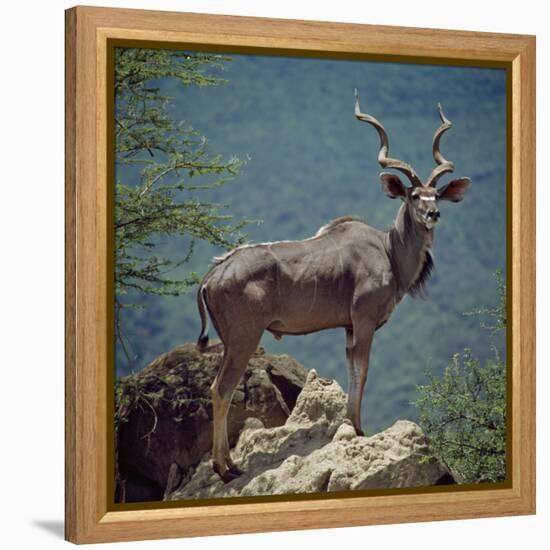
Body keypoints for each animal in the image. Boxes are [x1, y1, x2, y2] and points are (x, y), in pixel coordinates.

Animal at [196, 90, 472, 484]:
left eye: (435, 194)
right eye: (414, 196)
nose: (433, 214)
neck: (389, 250)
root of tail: (213, 274)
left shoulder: (348, 327)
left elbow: (352, 369)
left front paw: (350, 425)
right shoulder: (365, 320)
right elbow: (364, 370)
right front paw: (356, 428)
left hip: (231, 340)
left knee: (218, 387)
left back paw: (229, 464)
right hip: (245, 337)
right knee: (222, 389)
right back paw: (225, 468)